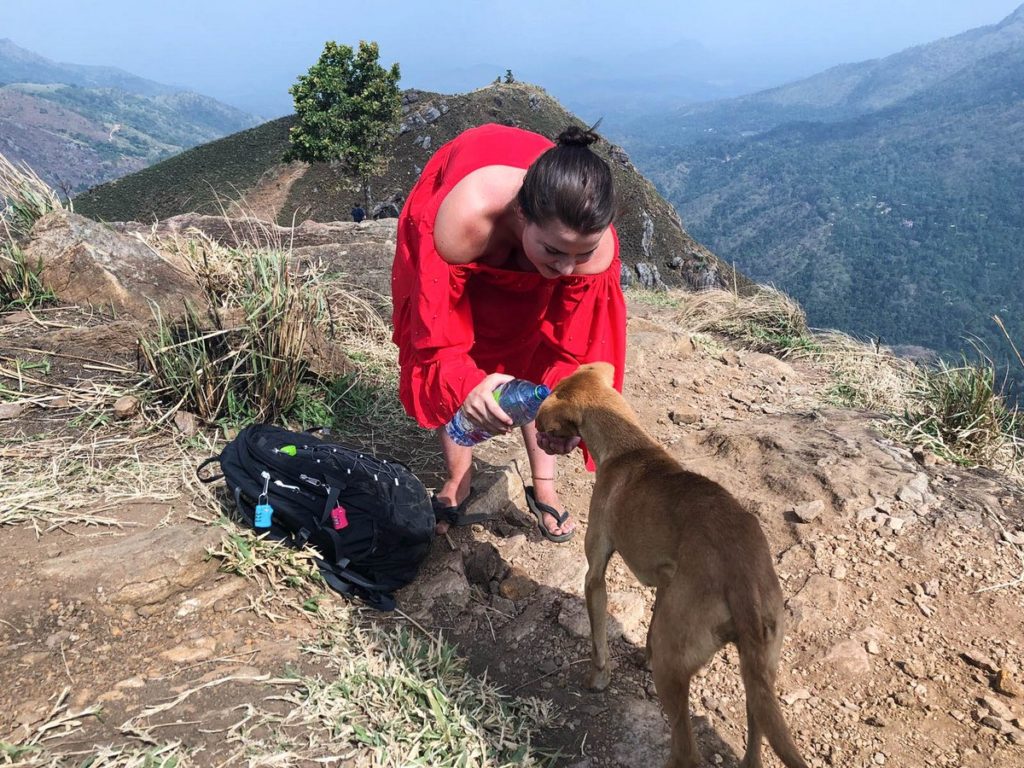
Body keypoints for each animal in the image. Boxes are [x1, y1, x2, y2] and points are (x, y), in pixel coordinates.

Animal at [536, 364, 806, 768]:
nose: (538, 436)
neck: (628, 447)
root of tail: (742, 577)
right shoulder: (666, 581)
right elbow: (650, 628)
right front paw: (641, 658)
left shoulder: (595, 574)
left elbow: (599, 639)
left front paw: (599, 678)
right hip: (759, 665)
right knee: (756, 737)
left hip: (677, 665)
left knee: (686, 751)